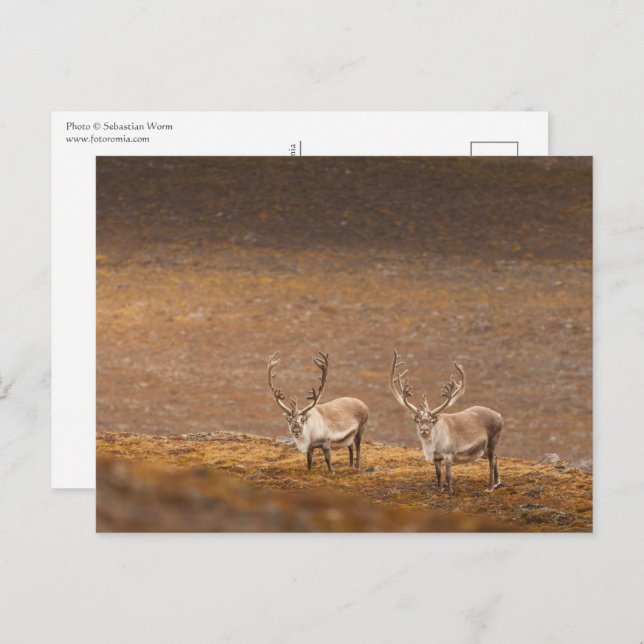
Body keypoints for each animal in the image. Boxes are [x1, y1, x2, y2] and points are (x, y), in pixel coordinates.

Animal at [389, 350, 503, 493]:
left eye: (432, 421)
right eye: (418, 421)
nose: (424, 430)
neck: (433, 445)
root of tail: (499, 415)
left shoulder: (449, 455)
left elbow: (448, 475)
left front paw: (450, 490)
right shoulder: (437, 458)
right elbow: (438, 474)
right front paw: (440, 489)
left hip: (492, 443)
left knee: (492, 461)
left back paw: (490, 486)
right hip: (484, 450)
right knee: (496, 458)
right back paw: (497, 483)